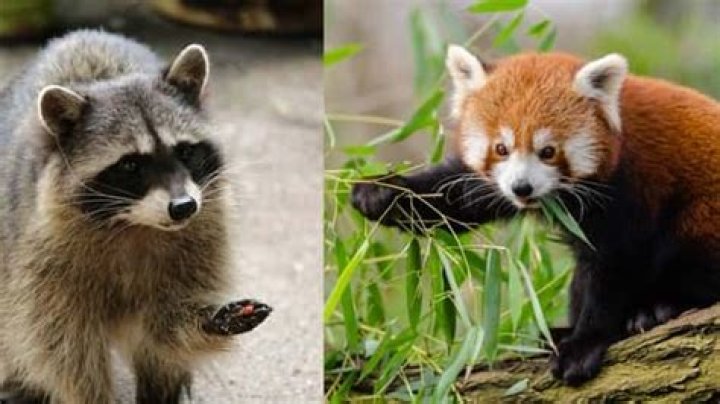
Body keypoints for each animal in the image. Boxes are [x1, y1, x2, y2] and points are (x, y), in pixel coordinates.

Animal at [0, 30, 270, 403]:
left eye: (185, 151)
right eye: (130, 165)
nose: (184, 206)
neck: (135, 225)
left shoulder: (205, 233)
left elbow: (164, 326)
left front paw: (204, 321)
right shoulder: (40, 256)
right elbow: (62, 345)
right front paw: (91, 395)